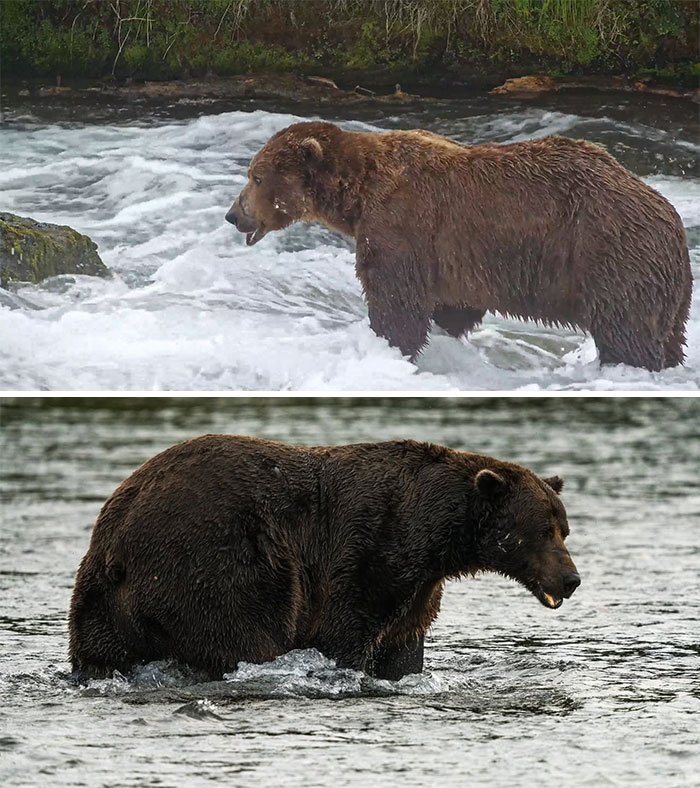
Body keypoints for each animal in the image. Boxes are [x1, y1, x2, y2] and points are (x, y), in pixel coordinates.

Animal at [69, 435, 581, 681]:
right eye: (543, 530)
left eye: (565, 528)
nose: (571, 579)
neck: (436, 537)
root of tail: (117, 543)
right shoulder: (371, 551)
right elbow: (346, 633)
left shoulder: (420, 585)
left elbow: (404, 644)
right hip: (215, 564)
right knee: (242, 635)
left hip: (101, 602)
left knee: (100, 652)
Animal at [225, 121, 692, 371]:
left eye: (256, 176)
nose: (233, 214)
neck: (356, 193)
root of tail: (672, 220)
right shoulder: (455, 255)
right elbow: (453, 303)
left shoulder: (402, 222)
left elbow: (396, 297)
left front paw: (387, 344)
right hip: (669, 288)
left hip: (611, 255)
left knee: (625, 331)